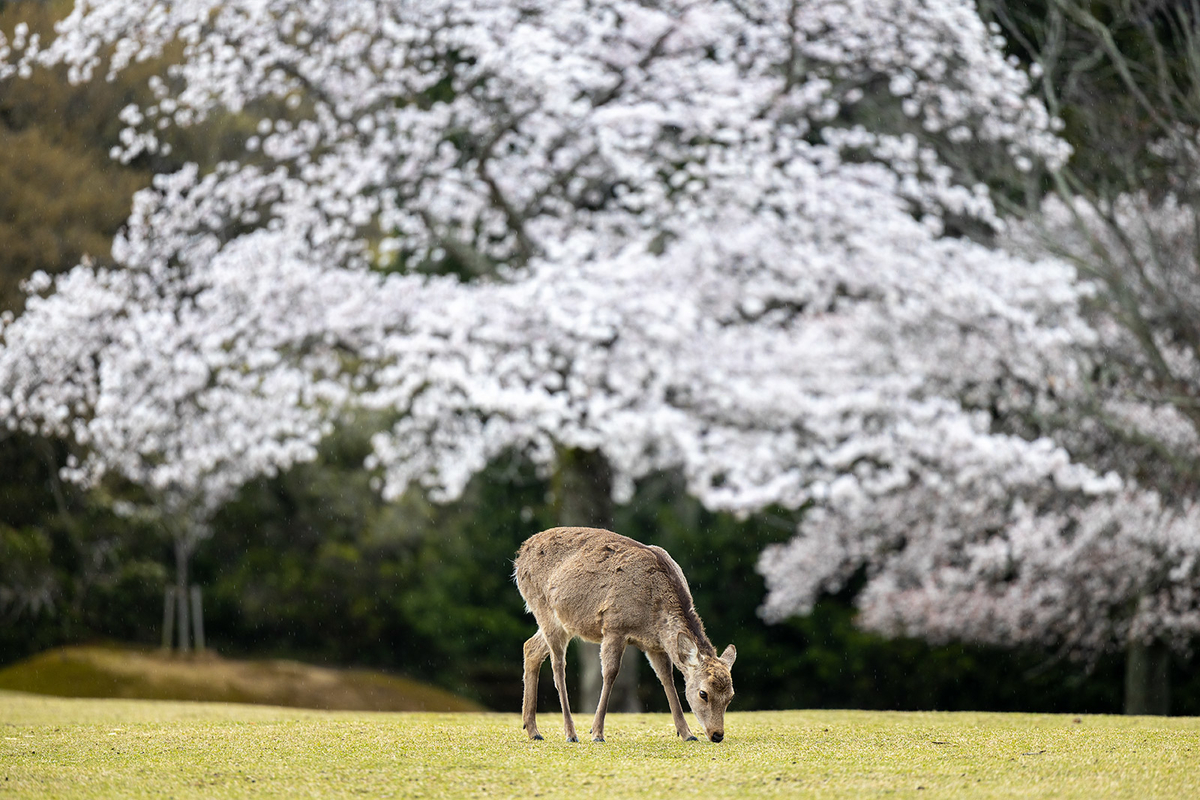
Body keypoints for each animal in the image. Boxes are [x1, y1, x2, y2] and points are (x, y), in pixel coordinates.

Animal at [513, 525, 734, 743]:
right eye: (703, 693)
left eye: (731, 696)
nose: (717, 734)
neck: (652, 619)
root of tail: (519, 557)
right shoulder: (614, 626)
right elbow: (610, 673)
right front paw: (597, 733)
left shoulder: (654, 645)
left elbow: (666, 678)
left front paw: (687, 734)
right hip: (544, 607)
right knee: (558, 665)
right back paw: (570, 733)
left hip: (564, 623)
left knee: (530, 647)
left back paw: (533, 730)